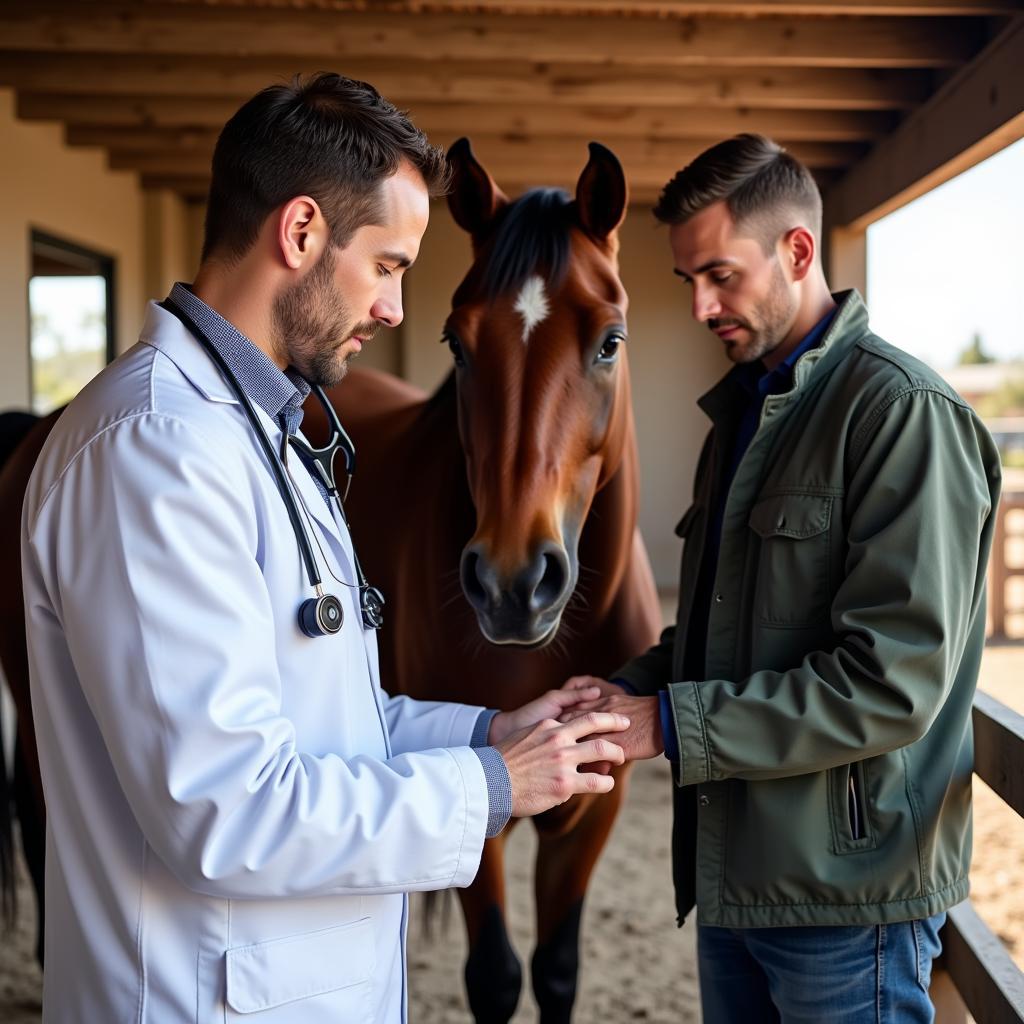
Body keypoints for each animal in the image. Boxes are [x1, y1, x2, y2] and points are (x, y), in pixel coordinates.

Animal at [0, 138, 659, 1024]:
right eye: (457, 343)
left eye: (610, 341)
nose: (514, 584)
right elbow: (495, 973)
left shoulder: (595, 810)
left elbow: (557, 971)